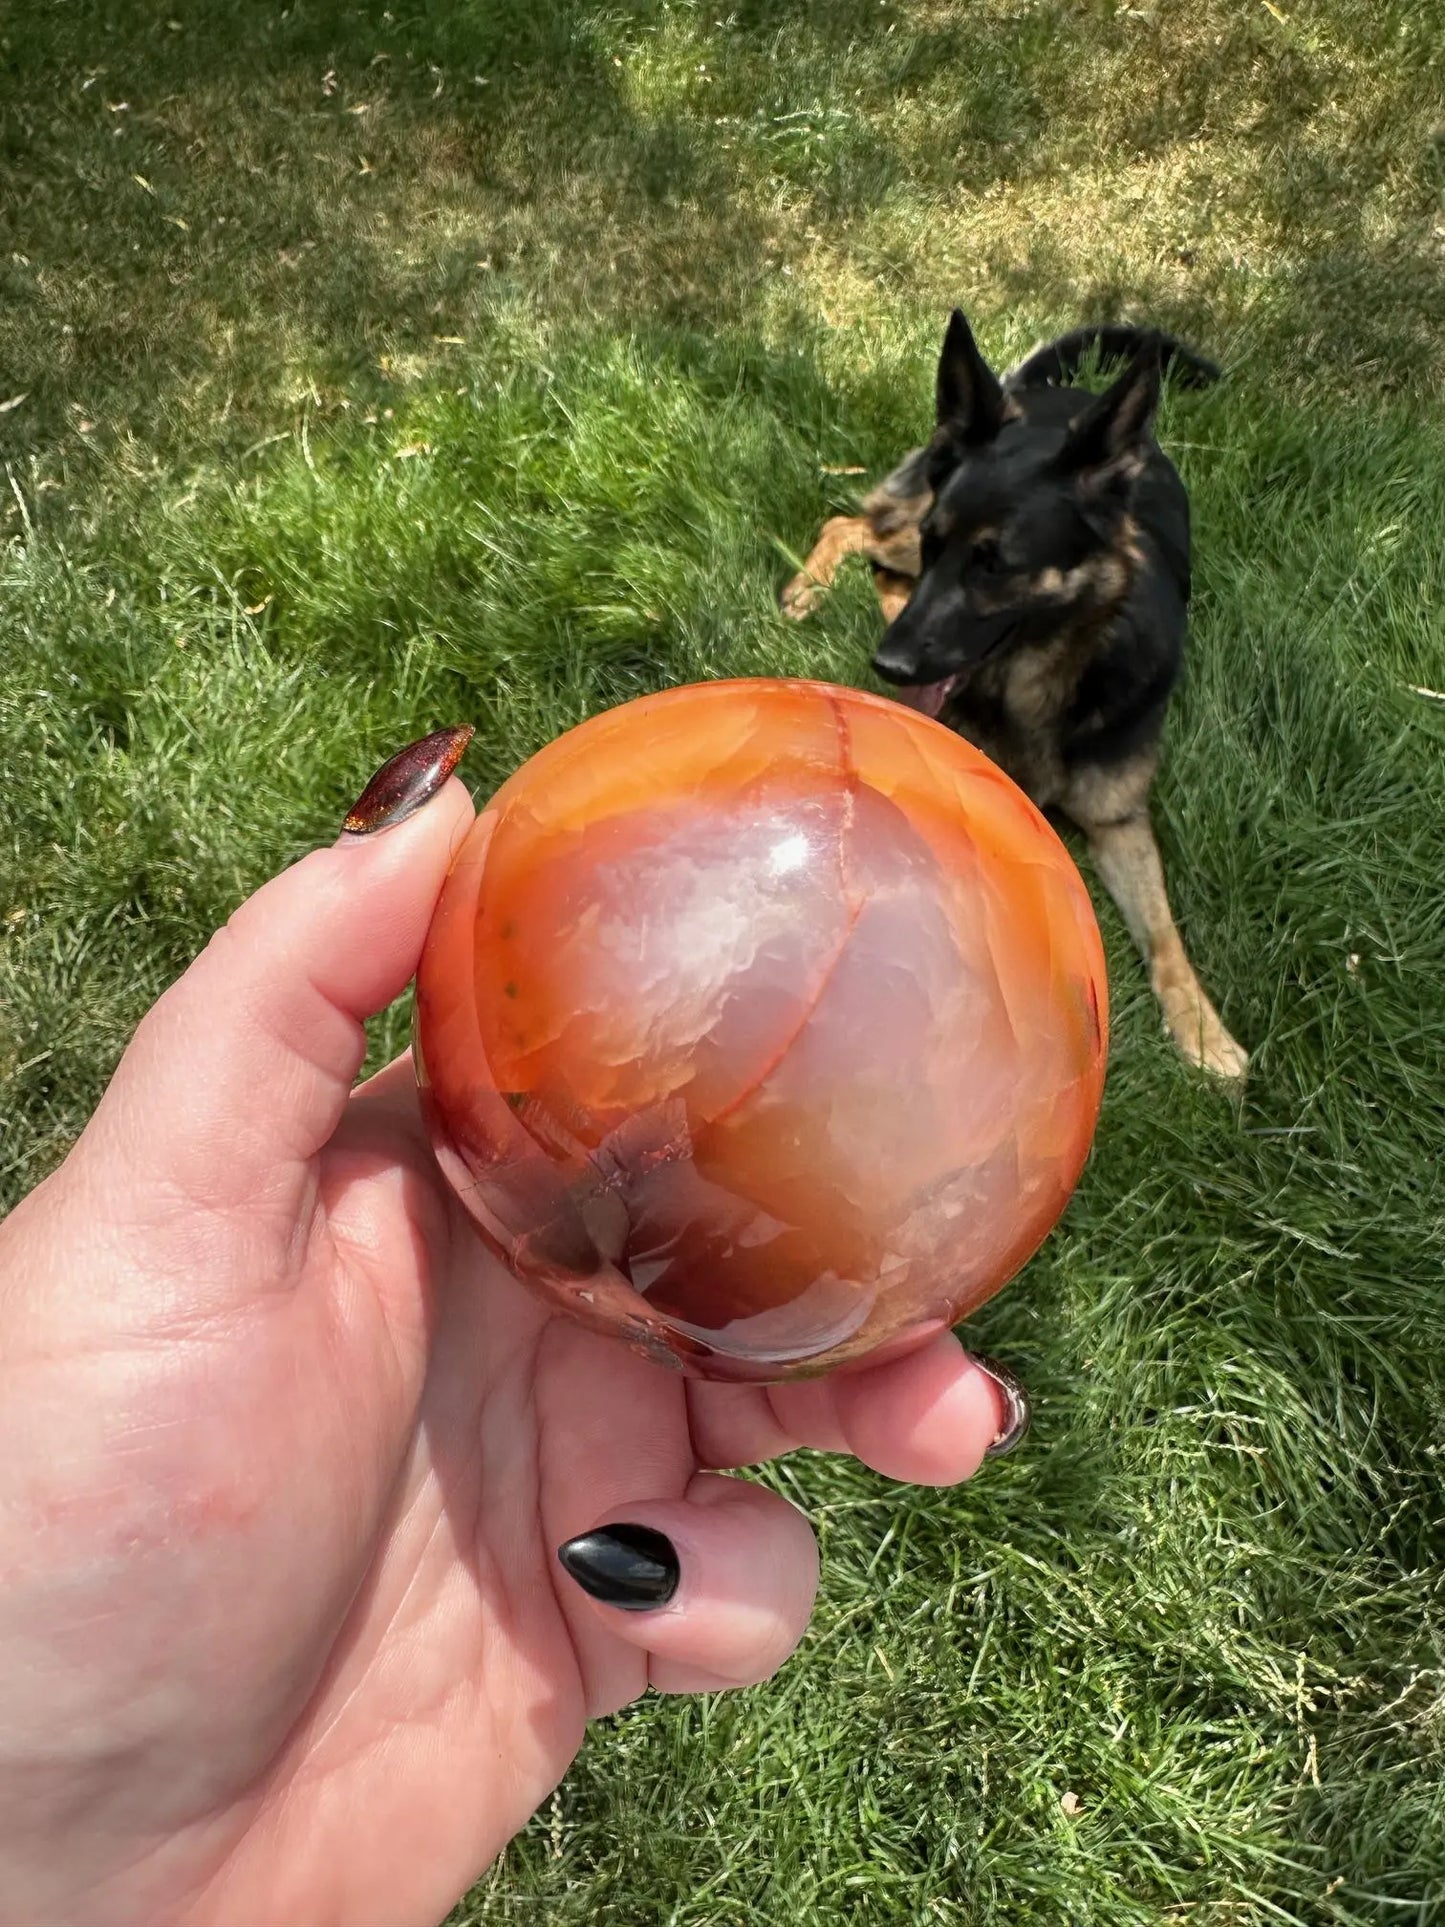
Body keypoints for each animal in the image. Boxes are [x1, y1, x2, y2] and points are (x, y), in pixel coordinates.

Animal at [786, 308, 1248, 1079]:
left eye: (994, 565)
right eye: (940, 543)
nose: (886, 666)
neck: (1042, 677)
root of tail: (1045, 396)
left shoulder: (1120, 822)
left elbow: (1165, 936)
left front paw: (1204, 1030)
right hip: (898, 531)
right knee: (849, 526)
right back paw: (809, 586)